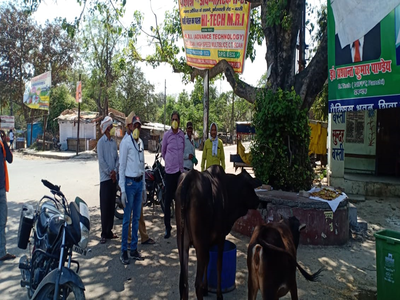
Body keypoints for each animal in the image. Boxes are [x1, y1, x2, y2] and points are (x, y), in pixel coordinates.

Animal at [175, 166, 262, 300]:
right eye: (251, 187)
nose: (258, 201)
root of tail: (189, 177)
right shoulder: (221, 237)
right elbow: (218, 265)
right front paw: (219, 294)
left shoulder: (209, 242)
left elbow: (208, 262)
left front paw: (206, 289)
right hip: (200, 243)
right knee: (196, 283)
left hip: (182, 242)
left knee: (184, 282)